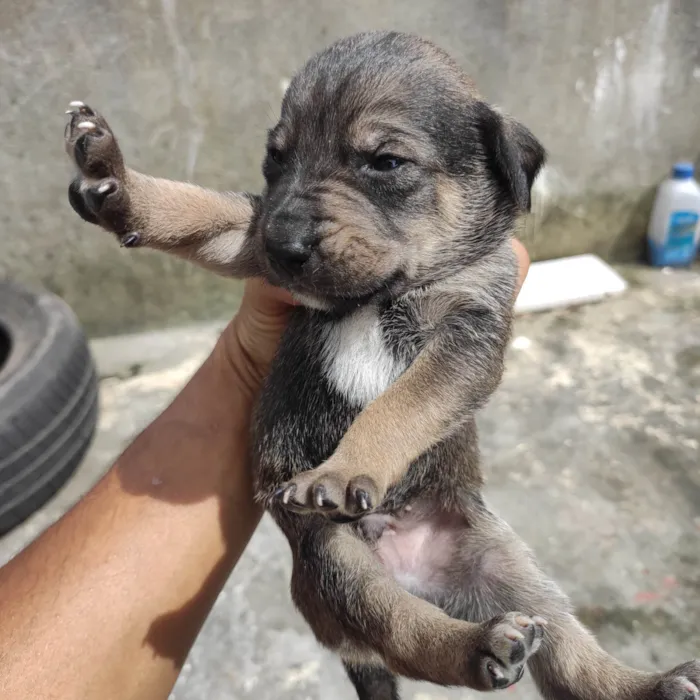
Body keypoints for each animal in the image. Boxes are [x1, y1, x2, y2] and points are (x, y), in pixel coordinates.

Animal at [63, 30, 696, 696]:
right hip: (339, 562)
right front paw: (116, 182)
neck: (376, 295)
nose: (283, 244)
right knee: (406, 631)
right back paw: (482, 646)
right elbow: (198, 210)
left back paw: (636, 682)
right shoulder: (251, 235)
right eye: (275, 160)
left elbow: (400, 406)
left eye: (385, 163)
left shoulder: (468, 334)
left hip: (508, 572)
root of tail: (412, 565)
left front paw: (344, 470)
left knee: (561, 653)